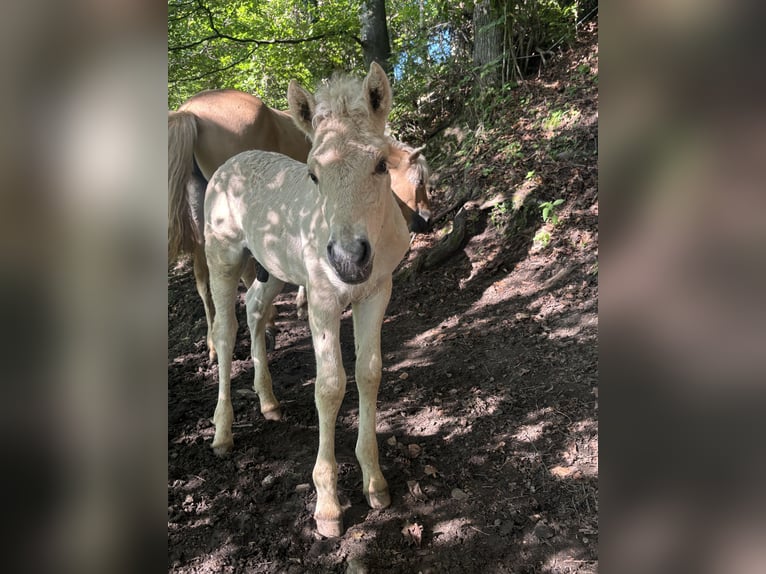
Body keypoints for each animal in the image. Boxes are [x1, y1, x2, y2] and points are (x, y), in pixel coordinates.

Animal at [170, 88, 432, 362]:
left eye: (382, 166)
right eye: (420, 180)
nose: (427, 220)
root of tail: (189, 111)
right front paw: (301, 304)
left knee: (214, 283)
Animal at [202, 64, 408, 540]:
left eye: (381, 164)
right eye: (314, 174)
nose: (348, 258)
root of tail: (229, 164)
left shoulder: (378, 291)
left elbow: (369, 373)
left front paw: (375, 482)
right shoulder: (322, 299)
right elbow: (329, 386)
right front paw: (328, 504)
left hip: (274, 269)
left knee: (255, 308)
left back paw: (269, 402)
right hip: (222, 257)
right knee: (225, 331)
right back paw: (222, 432)